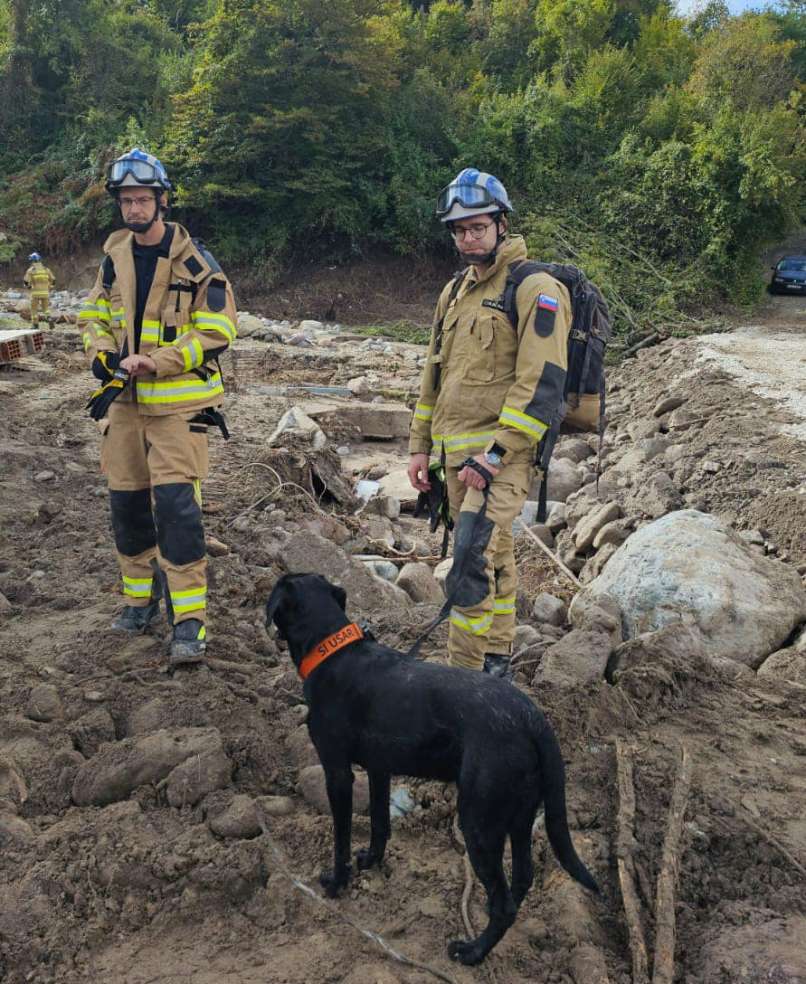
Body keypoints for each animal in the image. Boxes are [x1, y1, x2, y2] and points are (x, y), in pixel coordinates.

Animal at [266, 572, 600, 964]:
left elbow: (341, 839)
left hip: (478, 822)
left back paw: (472, 952)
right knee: (520, 880)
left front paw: (337, 882)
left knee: (503, 903)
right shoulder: (379, 770)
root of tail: (533, 719)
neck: (332, 650)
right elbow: (379, 824)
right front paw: (372, 861)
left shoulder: (337, 772)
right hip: (518, 816)